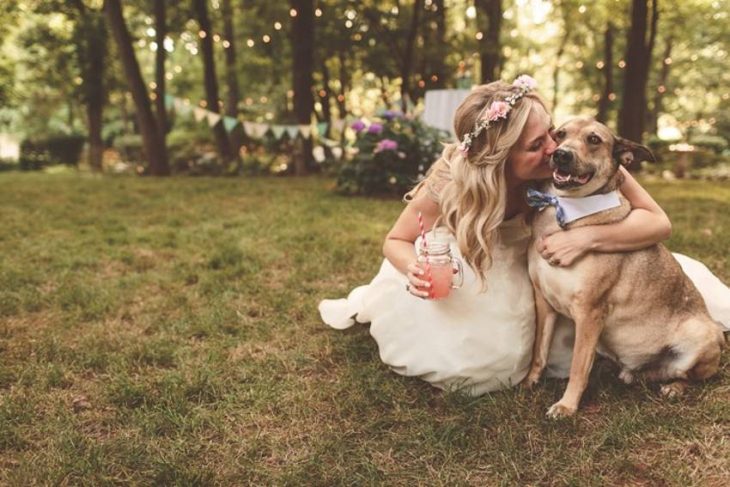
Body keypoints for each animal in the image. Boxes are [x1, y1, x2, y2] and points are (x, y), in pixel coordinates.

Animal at [524, 117, 724, 420]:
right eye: (559, 135)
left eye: (594, 139)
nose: (561, 154)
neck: (564, 210)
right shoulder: (543, 302)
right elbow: (539, 349)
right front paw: (529, 381)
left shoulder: (590, 312)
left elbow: (578, 366)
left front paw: (567, 405)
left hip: (700, 335)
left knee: (691, 377)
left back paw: (674, 388)